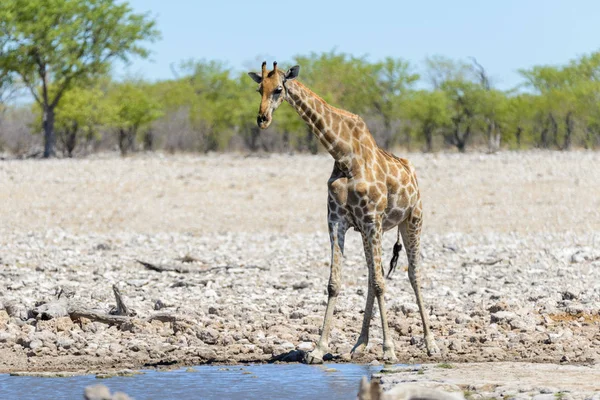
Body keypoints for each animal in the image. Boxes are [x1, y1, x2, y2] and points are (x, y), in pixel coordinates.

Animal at [246, 61, 438, 362]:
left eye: (278, 89)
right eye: (259, 89)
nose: (262, 119)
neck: (344, 156)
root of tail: (413, 172)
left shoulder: (371, 219)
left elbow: (382, 283)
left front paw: (389, 349)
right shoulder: (337, 220)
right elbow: (335, 283)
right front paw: (318, 349)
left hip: (412, 220)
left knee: (413, 274)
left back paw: (431, 344)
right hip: (373, 230)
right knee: (372, 275)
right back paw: (360, 343)